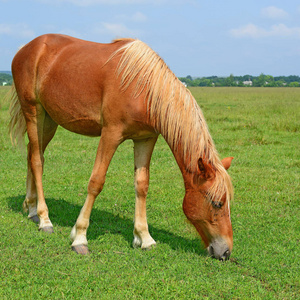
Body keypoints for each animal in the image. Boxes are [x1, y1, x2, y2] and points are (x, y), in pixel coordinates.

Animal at [8, 34, 234, 260]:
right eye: (217, 203)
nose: (225, 252)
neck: (144, 87)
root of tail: (26, 48)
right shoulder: (110, 134)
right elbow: (96, 182)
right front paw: (80, 237)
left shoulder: (146, 139)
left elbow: (142, 185)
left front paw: (144, 237)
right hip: (33, 112)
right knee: (37, 160)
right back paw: (44, 219)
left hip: (49, 120)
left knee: (32, 154)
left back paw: (31, 208)